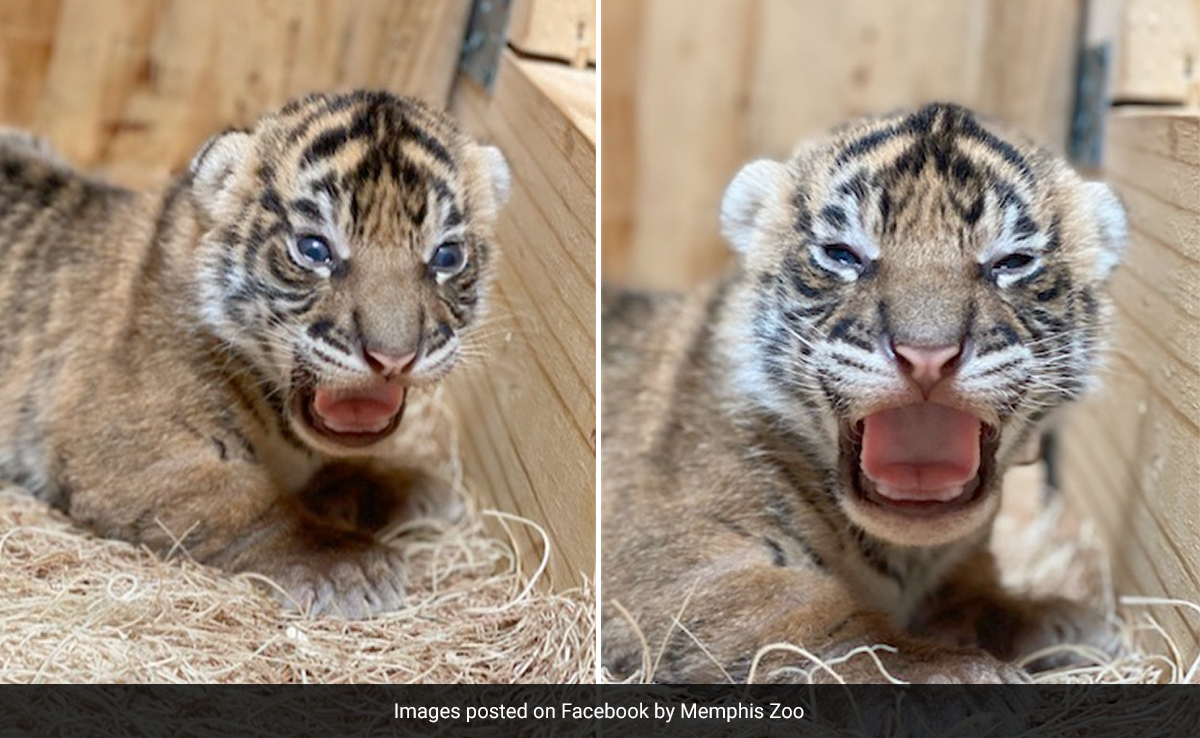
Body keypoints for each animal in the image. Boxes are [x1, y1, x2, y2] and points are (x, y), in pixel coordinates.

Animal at [0, 90, 510, 618]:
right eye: (314, 249)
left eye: (447, 257)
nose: (393, 357)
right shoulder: (129, 450)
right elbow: (249, 503)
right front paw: (349, 565)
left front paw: (413, 485)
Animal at [601, 103, 1126, 683]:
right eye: (842, 255)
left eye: (1010, 262)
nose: (927, 354)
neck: (908, 553)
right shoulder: (676, 565)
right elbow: (821, 618)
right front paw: (957, 671)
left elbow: (982, 595)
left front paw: (1065, 621)